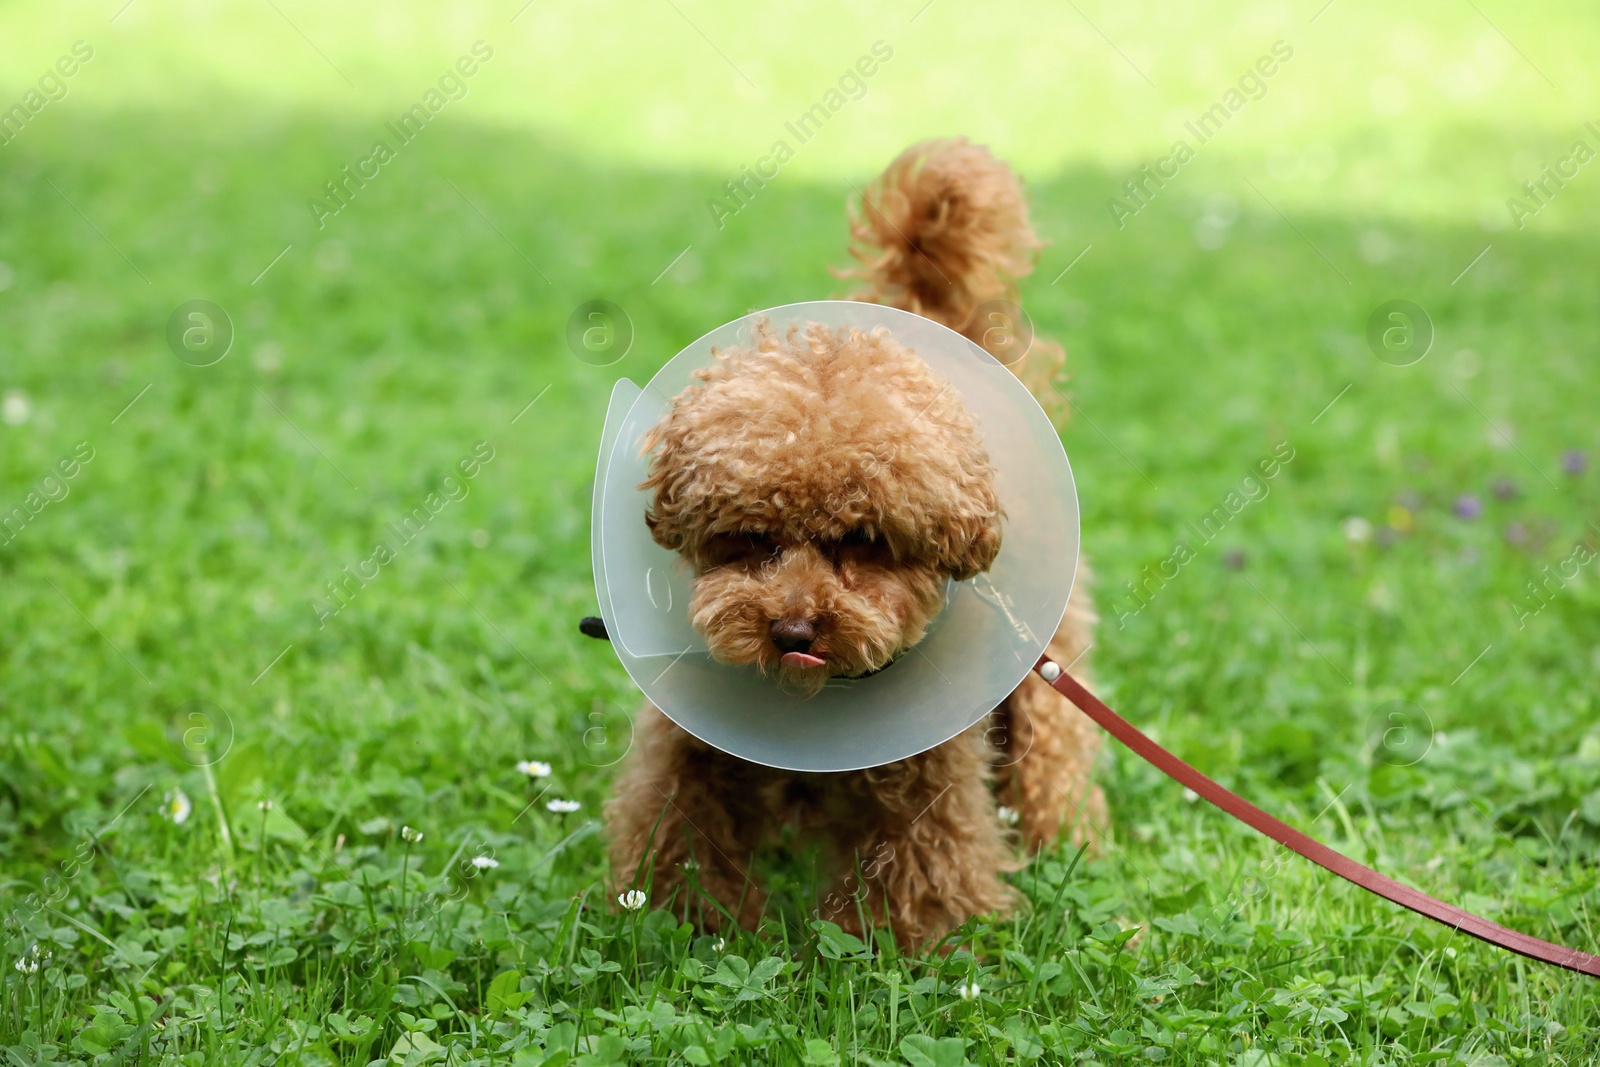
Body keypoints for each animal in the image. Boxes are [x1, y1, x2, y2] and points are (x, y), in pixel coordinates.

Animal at [604, 137, 1107, 947]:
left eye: (867, 540)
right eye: (748, 535)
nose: (792, 630)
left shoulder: (925, 776)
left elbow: (923, 864)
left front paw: (902, 949)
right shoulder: (695, 749)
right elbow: (678, 823)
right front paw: (684, 923)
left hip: (1045, 663)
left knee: (1053, 754)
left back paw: (1065, 843)